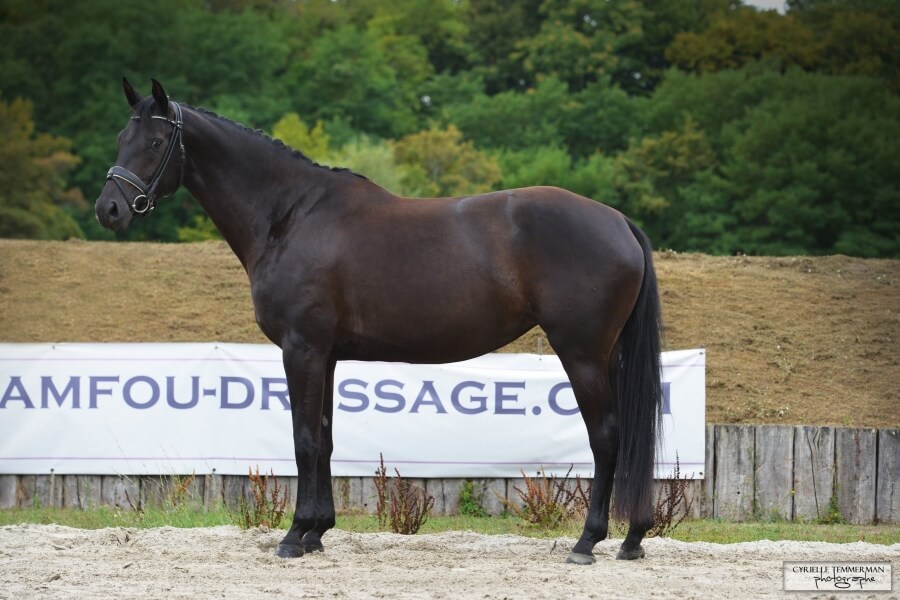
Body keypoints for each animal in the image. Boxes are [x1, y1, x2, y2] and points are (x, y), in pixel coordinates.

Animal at [95, 78, 664, 565]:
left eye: (153, 142)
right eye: (121, 138)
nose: (110, 209)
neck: (291, 215)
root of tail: (617, 220)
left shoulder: (301, 349)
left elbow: (303, 439)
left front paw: (293, 536)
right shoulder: (325, 356)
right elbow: (324, 438)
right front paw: (316, 532)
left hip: (582, 353)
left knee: (606, 436)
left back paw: (588, 541)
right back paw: (631, 539)